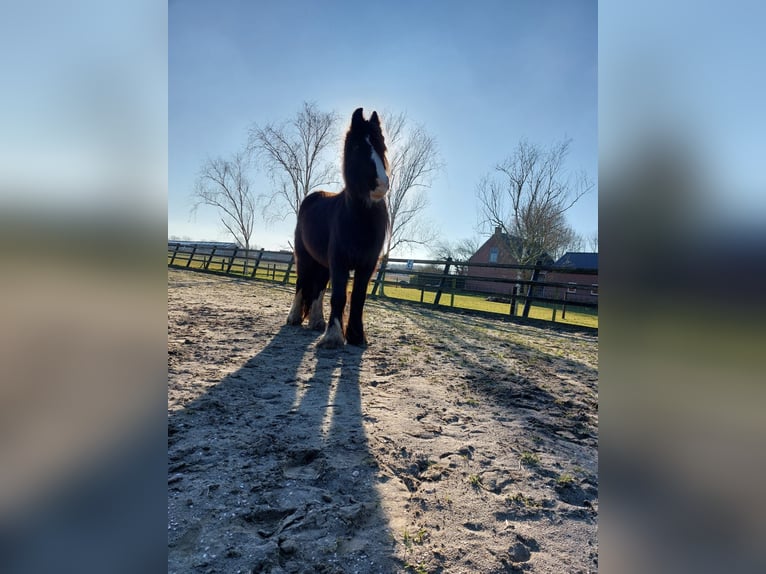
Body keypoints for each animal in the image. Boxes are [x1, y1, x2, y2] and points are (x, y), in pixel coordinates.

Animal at [286, 109, 390, 352]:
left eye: (382, 146)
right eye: (357, 147)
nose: (380, 184)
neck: (359, 221)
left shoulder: (367, 264)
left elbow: (358, 298)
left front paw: (356, 336)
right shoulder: (339, 261)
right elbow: (339, 296)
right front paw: (333, 337)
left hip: (323, 263)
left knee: (318, 288)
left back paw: (316, 322)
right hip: (304, 256)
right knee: (302, 283)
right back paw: (294, 318)